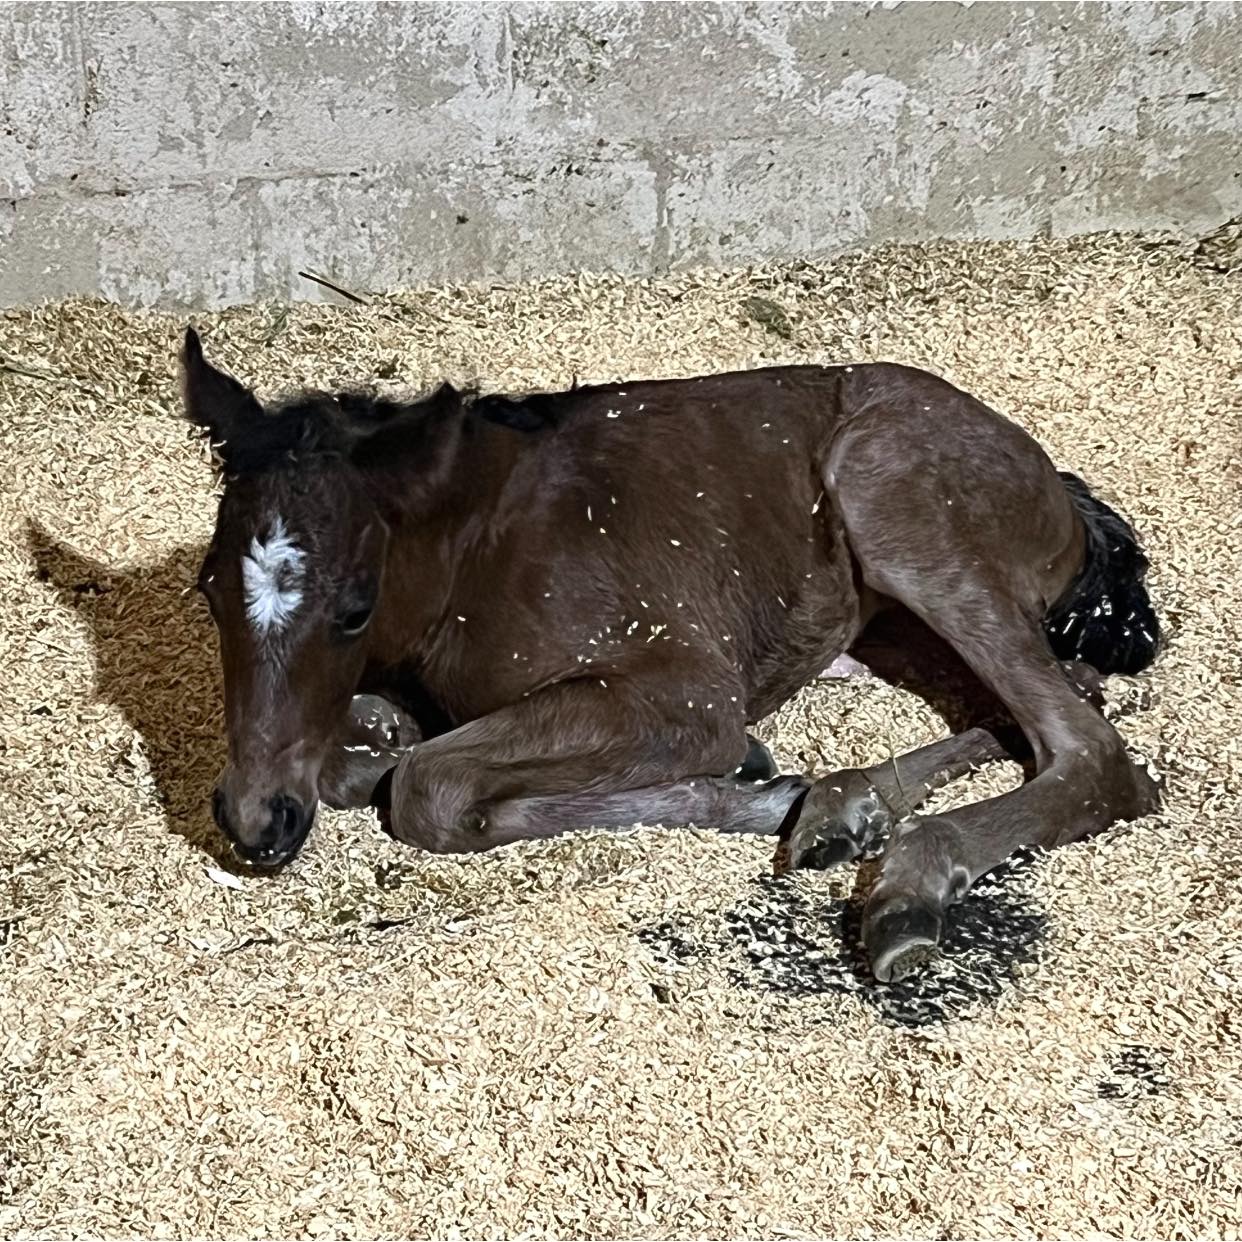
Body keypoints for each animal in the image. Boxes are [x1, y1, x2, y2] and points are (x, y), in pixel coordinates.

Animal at [181, 326, 1160, 981]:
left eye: (353, 608)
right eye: (207, 590)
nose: (254, 822)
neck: (474, 551)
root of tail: (1058, 485)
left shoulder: (684, 691)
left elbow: (428, 787)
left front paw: (754, 788)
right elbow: (364, 755)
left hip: (894, 503)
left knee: (1092, 755)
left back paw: (899, 885)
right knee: (1058, 695)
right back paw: (842, 806)